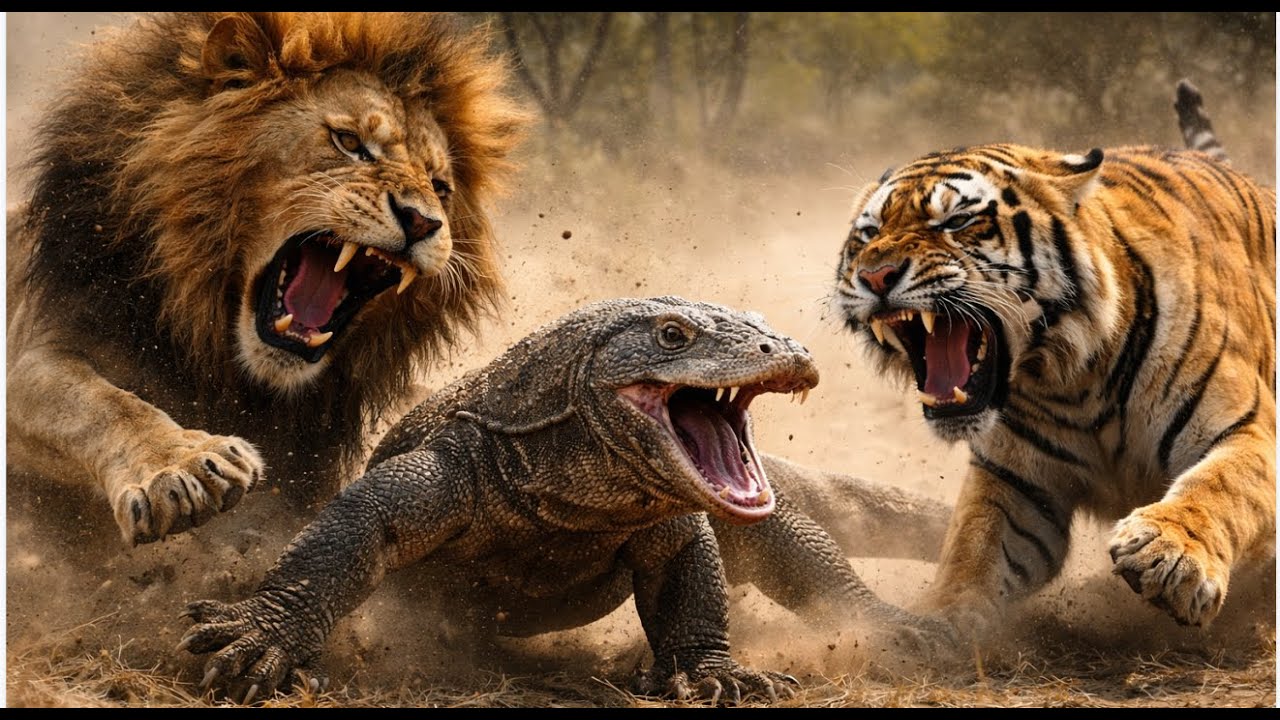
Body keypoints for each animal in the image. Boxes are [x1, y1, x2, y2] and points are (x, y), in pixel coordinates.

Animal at [6, 12, 529, 546]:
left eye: (440, 187)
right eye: (349, 143)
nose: (423, 222)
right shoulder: (38, 342)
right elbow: (100, 403)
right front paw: (184, 469)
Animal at [830, 82, 1275, 640]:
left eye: (956, 221)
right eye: (868, 234)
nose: (875, 276)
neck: (1072, 378)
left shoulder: (1247, 429)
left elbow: (1218, 487)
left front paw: (1169, 554)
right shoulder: (1015, 483)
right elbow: (972, 546)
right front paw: (936, 619)